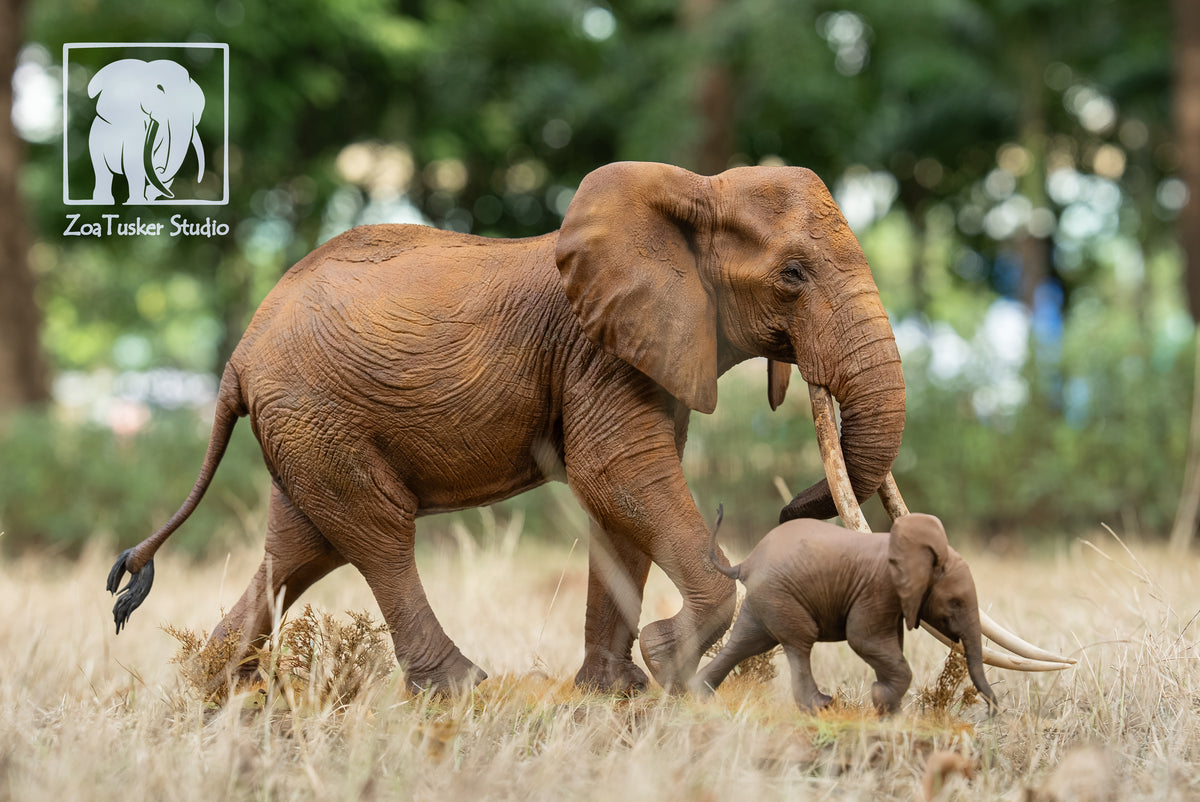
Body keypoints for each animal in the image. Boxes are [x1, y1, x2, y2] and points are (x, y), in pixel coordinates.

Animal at [107, 160, 911, 694]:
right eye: (794, 275)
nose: (789, 506)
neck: (694, 190)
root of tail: (238, 357)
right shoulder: (598, 349)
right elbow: (617, 474)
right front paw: (667, 662)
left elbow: (618, 502)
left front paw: (612, 693)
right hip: (317, 413)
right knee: (376, 531)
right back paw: (464, 689)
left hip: (303, 425)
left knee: (302, 546)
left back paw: (210, 696)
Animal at [692, 509, 998, 715]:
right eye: (955, 602)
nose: (992, 712)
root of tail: (744, 563)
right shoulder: (878, 589)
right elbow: (862, 639)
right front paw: (881, 699)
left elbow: (887, 646)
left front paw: (890, 713)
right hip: (779, 594)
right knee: (799, 640)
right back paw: (822, 706)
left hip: (764, 599)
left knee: (748, 641)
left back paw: (698, 695)